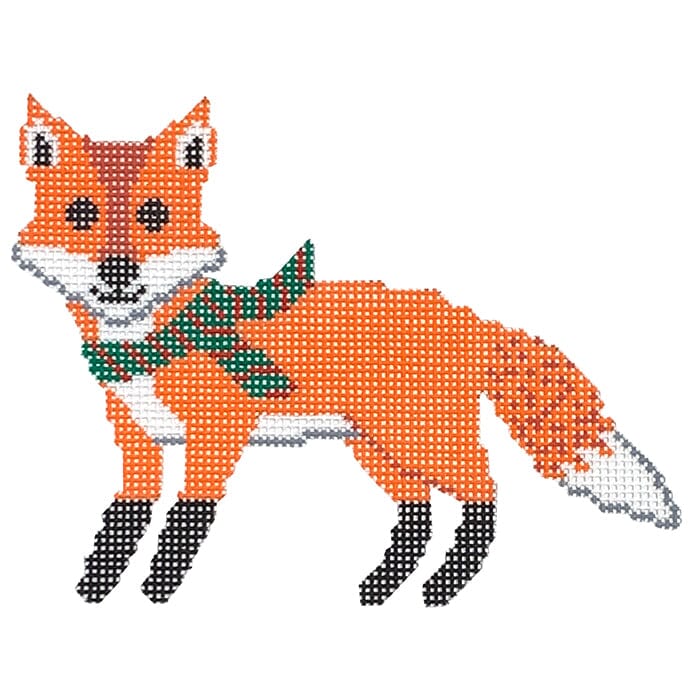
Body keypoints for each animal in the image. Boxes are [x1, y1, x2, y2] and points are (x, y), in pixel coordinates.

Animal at [12, 96, 681, 606]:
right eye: (81, 214)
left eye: (154, 215)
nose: (117, 273)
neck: (155, 344)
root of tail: (470, 318)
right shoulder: (138, 440)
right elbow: (122, 519)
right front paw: (95, 589)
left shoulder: (217, 435)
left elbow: (184, 521)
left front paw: (156, 592)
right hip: (377, 447)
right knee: (417, 516)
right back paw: (382, 588)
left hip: (422, 440)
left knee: (485, 494)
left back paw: (442, 588)